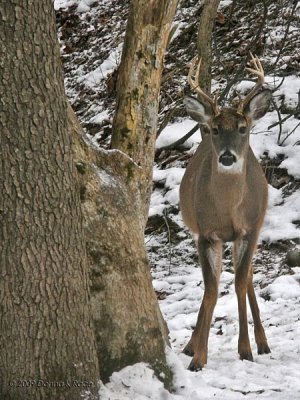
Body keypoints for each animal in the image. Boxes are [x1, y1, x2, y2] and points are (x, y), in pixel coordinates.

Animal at [179, 54, 274, 372]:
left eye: (243, 128)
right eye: (217, 129)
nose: (228, 157)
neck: (230, 212)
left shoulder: (249, 230)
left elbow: (239, 282)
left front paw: (245, 349)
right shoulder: (207, 234)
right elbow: (211, 288)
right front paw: (198, 356)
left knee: (247, 277)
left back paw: (263, 342)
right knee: (223, 278)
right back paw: (191, 343)